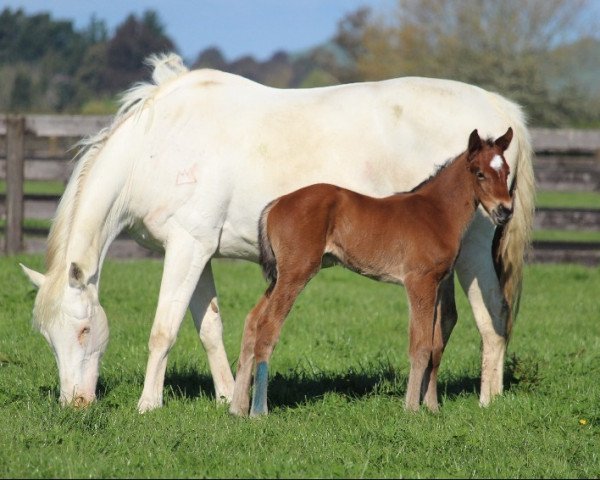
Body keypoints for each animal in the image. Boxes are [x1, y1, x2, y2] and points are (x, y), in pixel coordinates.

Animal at [232, 127, 512, 416]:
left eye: (507, 172)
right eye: (479, 173)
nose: (505, 211)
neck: (437, 213)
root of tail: (276, 203)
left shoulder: (437, 283)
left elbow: (436, 345)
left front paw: (432, 408)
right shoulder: (419, 283)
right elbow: (420, 345)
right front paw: (411, 409)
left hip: (280, 275)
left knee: (252, 321)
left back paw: (237, 407)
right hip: (295, 273)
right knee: (268, 326)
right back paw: (258, 411)